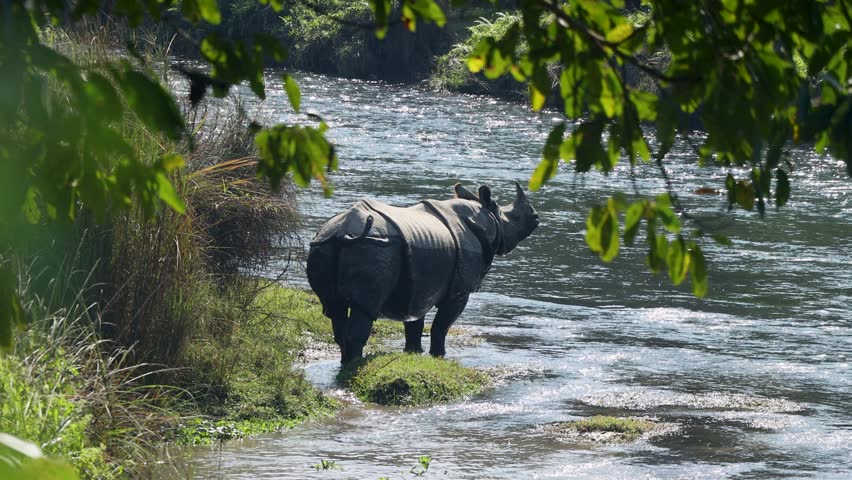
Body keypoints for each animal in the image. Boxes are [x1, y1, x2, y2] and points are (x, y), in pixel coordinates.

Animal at [306, 182, 539, 364]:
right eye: (514, 216)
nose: (536, 218)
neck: (488, 218)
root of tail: (340, 232)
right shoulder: (459, 290)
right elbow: (441, 325)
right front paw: (439, 356)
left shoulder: (419, 282)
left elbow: (414, 318)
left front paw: (413, 352)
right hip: (375, 246)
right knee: (364, 308)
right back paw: (355, 364)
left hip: (323, 245)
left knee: (334, 309)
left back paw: (346, 361)